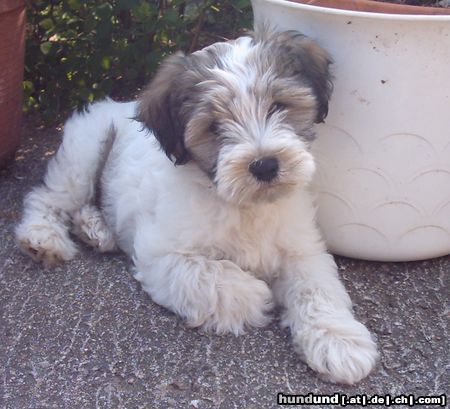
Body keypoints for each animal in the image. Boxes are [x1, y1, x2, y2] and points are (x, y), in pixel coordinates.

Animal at [15, 28, 378, 382]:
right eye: (214, 127)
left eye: (278, 105)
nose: (265, 165)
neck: (241, 205)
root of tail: (109, 105)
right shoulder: (161, 256)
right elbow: (209, 275)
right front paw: (256, 294)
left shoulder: (301, 248)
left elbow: (317, 288)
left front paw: (339, 342)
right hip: (84, 153)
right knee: (48, 197)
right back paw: (42, 238)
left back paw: (95, 229)